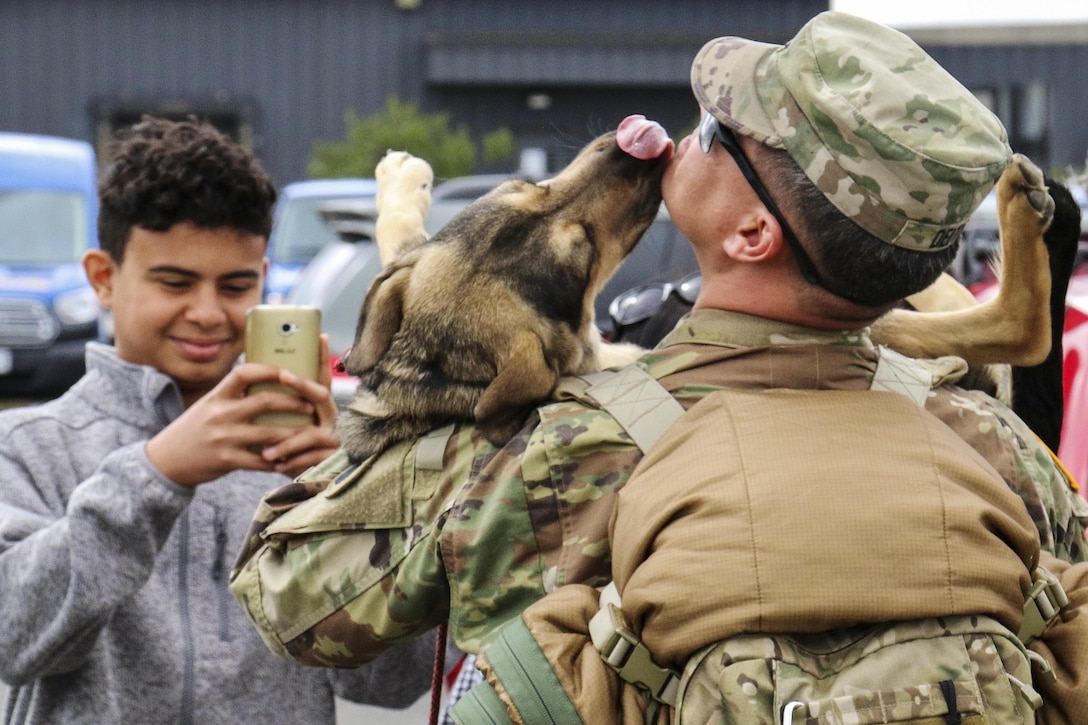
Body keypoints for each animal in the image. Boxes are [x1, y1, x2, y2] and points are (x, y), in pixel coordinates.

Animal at [337, 114, 1053, 459]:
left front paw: (399, 181)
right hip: (901, 327)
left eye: (528, 187)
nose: (632, 147)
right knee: (1012, 326)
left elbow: (396, 243)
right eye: (583, 249)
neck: (435, 378)